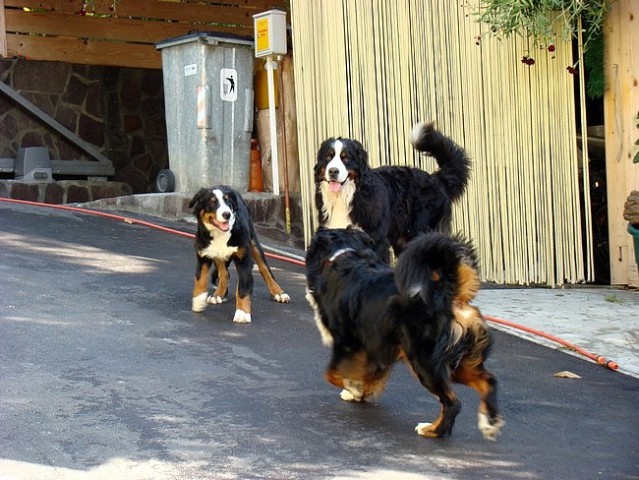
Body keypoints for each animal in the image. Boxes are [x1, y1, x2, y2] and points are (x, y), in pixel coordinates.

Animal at [189, 186, 292, 324]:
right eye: (212, 202)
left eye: (227, 201)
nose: (227, 214)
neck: (220, 234)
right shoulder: (203, 253)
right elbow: (200, 278)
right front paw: (199, 300)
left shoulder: (244, 258)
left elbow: (243, 287)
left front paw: (242, 313)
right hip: (218, 254)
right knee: (224, 273)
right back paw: (218, 295)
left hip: (253, 242)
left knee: (264, 268)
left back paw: (279, 293)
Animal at [304, 228, 504, 438]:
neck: (342, 254)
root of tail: (448, 294)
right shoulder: (376, 349)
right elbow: (368, 375)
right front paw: (359, 391)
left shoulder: (347, 343)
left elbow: (332, 374)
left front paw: (352, 388)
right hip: (457, 363)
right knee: (488, 381)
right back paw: (489, 422)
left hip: (425, 362)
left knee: (452, 403)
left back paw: (431, 430)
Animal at [314, 121, 470, 262]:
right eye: (328, 157)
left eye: (345, 158)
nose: (333, 171)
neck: (345, 197)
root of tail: (437, 179)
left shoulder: (375, 238)